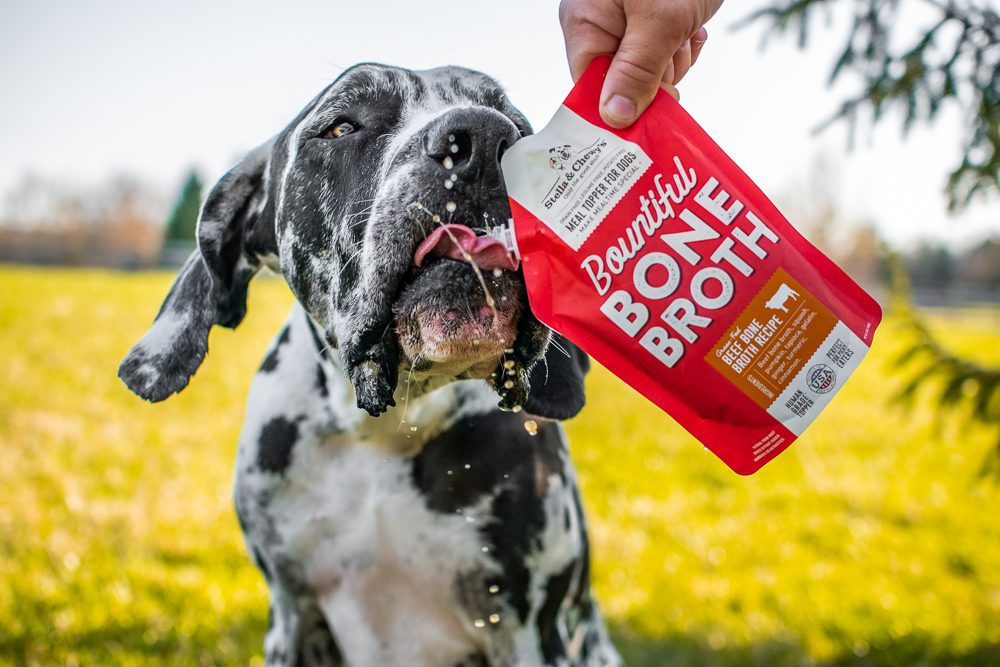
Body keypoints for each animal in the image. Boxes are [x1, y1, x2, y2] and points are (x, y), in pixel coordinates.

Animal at [117, 64, 620, 667]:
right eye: (341, 127)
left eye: (518, 126)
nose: (481, 139)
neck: (385, 428)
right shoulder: (293, 620)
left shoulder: (530, 632)